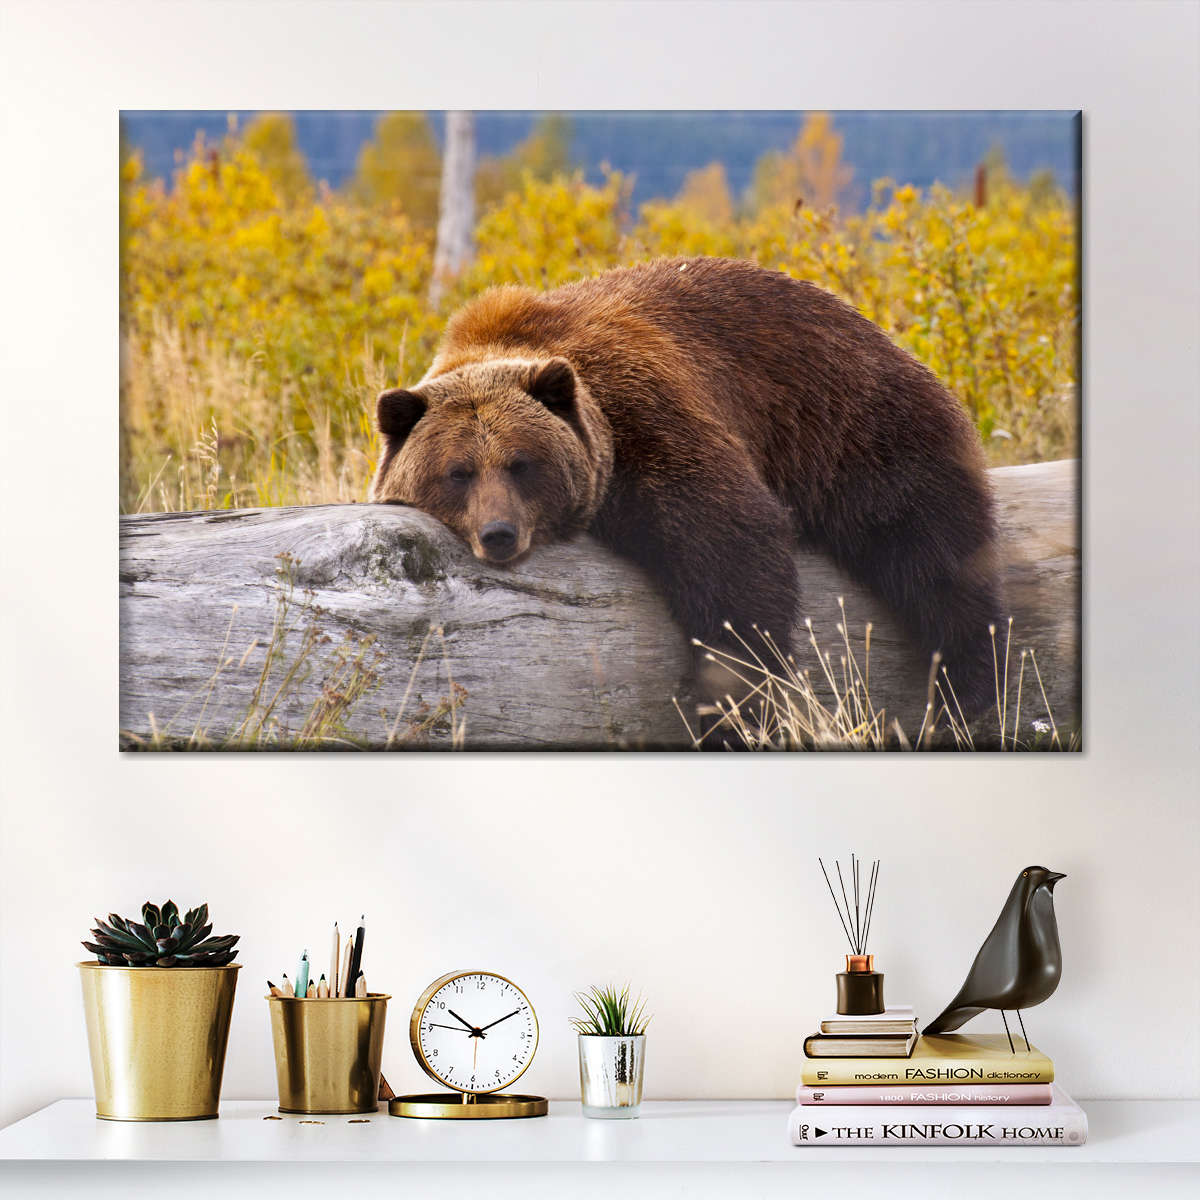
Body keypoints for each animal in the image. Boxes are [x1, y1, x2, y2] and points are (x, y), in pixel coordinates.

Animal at [370, 256, 1001, 721]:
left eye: (522, 464)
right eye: (458, 472)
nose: (498, 533)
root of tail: (880, 333)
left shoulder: (646, 414)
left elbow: (730, 546)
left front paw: (729, 703)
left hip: (857, 428)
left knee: (932, 551)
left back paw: (965, 685)